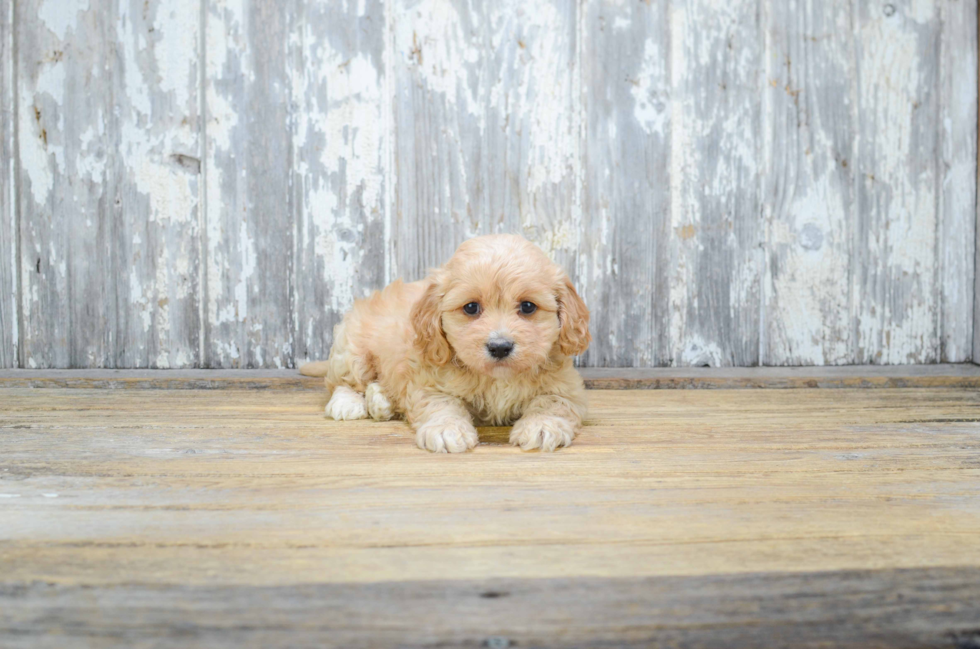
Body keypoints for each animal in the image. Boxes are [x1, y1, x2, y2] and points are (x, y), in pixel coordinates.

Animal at [300, 233, 588, 450]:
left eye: (528, 306)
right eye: (471, 307)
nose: (500, 347)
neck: (497, 378)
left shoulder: (565, 386)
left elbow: (553, 403)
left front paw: (542, 426)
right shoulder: (430, 382)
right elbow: (442, 404)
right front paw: (446, 429)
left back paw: (381, 399)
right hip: (351, 348)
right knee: (344, 381)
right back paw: (348, 403)